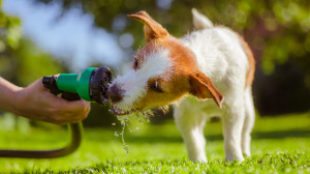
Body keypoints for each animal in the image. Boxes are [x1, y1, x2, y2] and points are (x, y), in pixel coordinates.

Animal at [108, 9, 256, 162]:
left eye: (157, 87)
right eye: (136, 62)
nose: (112, 93)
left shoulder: (233, 110)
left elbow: (232, 136)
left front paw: (234, 159)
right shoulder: (185, 114)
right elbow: (192, 139)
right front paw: (198, 161)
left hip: (247, 110)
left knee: (244, 133)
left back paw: (245, 152)